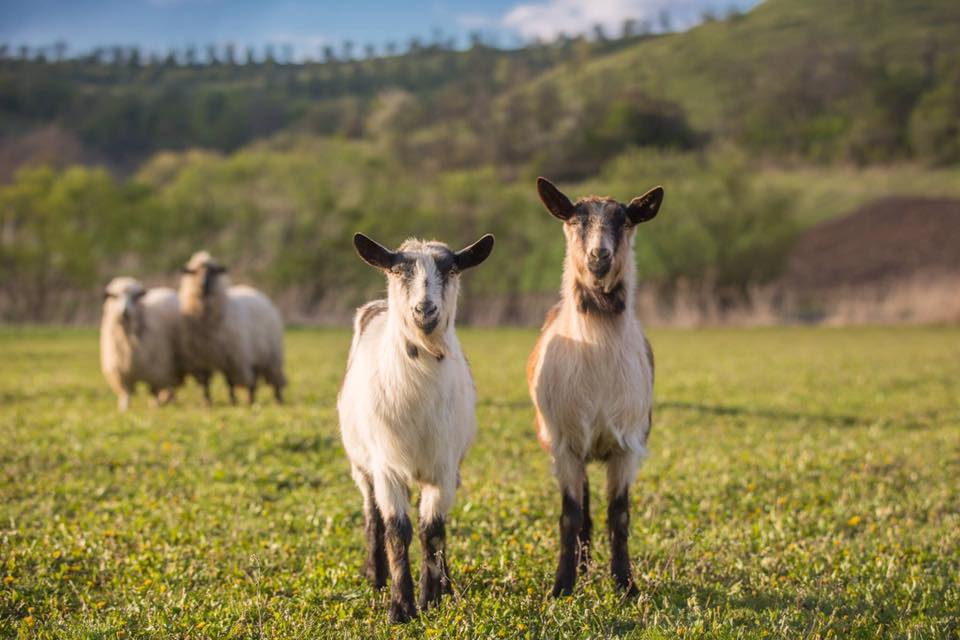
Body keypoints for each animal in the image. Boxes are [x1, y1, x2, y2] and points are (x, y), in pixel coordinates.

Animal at [99, 276, 184, 410]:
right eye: (115, 296)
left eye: (135, 297)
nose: (124, 312)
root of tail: (165, 289)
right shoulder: (122, 374)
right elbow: (126, 394)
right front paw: (124, 409)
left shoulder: (156, 372)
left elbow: (154, 392)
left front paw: (154, 407)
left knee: (170, 386)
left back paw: (167, 399)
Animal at [177, 251, 284, 404]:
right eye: (195, 271)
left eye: (213, 271)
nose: (203, 285)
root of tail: (256, 292)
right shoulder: (200, 360)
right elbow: (206, 383)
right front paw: (207, 401)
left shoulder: (231, 358)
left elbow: (230, 382)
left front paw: (233, 401)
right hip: (255, 356)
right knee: (254, 381)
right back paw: (251, 400)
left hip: (271, 356)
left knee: (274, 379)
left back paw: (277, 400)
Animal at [340, 232, 496, 624]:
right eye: (398, 270)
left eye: (452, 269)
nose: (425, 310)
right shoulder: (387, 467)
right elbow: (397, 530)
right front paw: (400, 607)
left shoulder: (443, 468)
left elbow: (432, 531)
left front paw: (432, 598)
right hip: (362, 465)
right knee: (373, 516)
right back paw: (375, 576)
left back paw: (447, 583)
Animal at [524, 178, 660, 596]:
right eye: (575, 220)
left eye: (625, 220)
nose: (599, 256)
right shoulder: (565, 445)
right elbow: (569, 516)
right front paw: (562, 586)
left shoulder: (626, 445)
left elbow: (620, 515)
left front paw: (626, 585)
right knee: (582, 506)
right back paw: (582, 568)